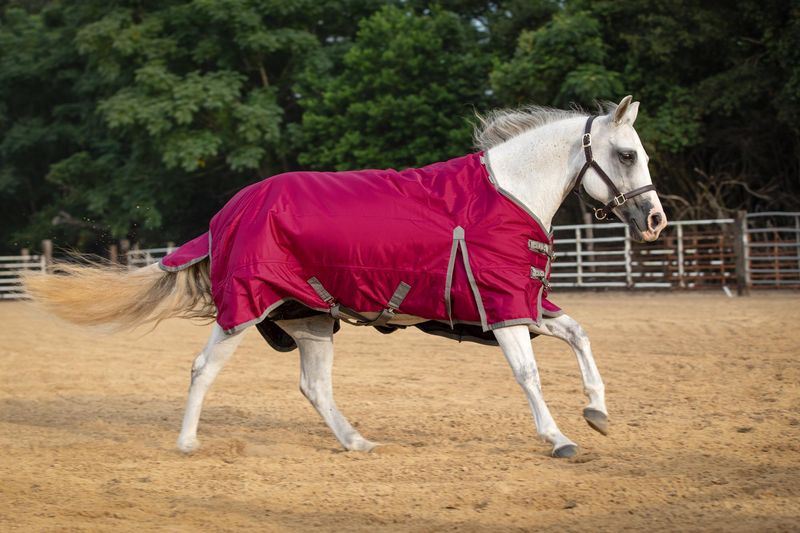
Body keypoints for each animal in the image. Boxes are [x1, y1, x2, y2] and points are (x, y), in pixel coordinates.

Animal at [25, 95, 667, 458]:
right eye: (627, 154)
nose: (656, 219)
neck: (507, 192)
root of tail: (225, 215)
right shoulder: (504, 310)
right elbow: (529, 374)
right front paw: (559, 439)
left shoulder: (524, 304)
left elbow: (580, 335)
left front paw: (597, 412)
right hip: (246, 309)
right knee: (204, 367)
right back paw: (187, 444)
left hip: (310, 319)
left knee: (314, 387)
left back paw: (356, 441)